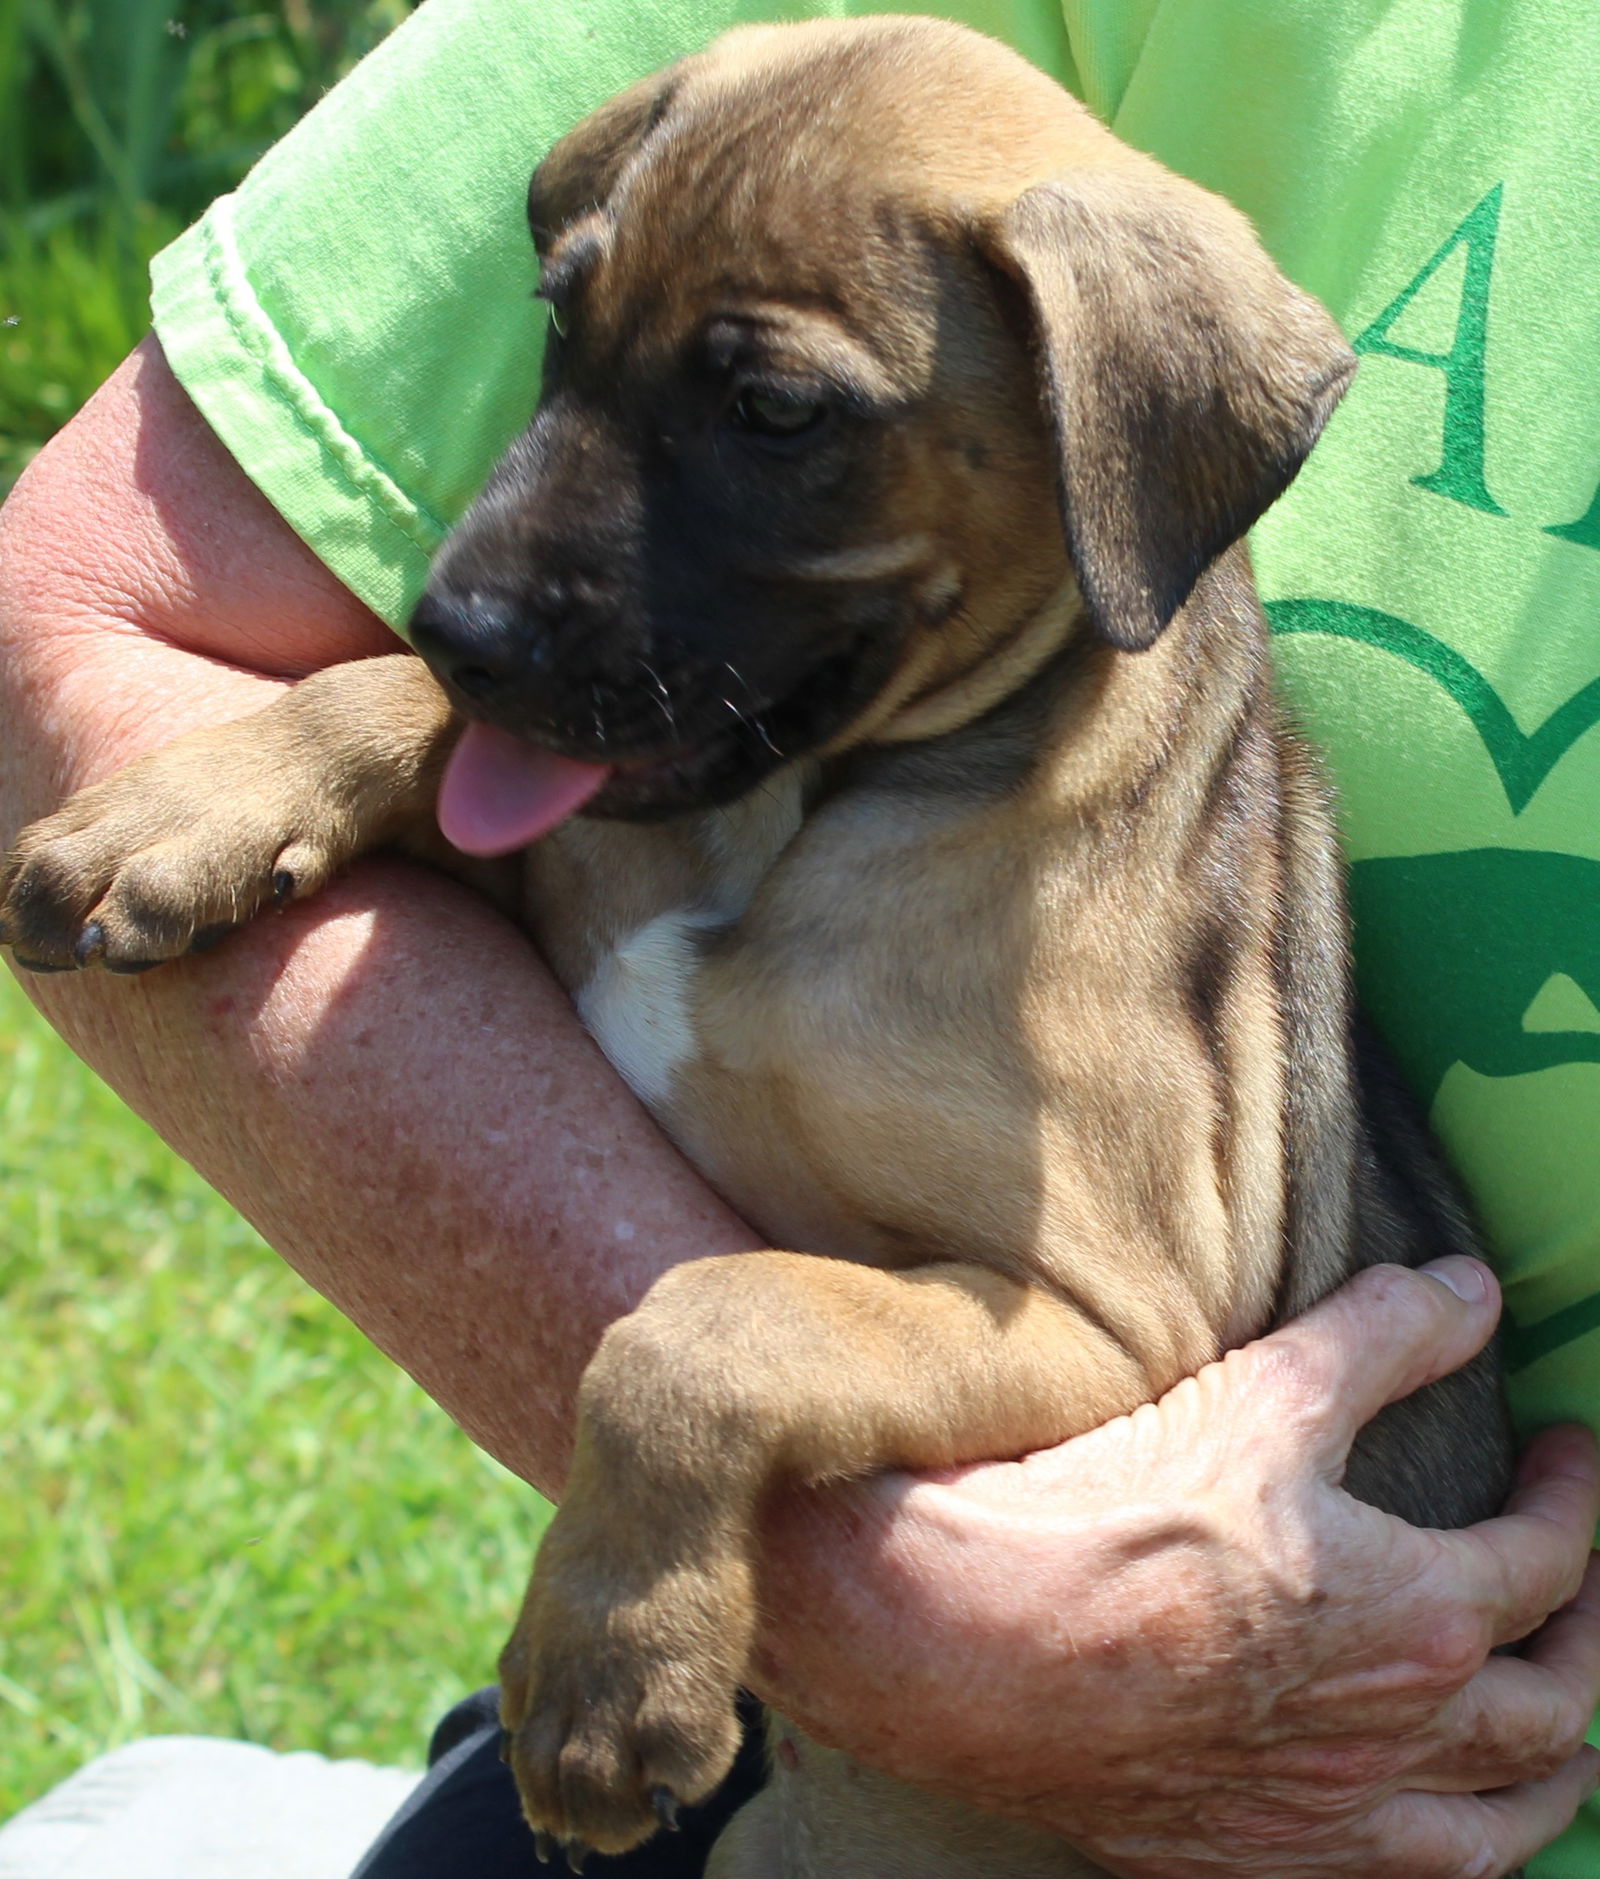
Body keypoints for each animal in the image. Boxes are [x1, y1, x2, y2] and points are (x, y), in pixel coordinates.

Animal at [6, 18, 1517, 1879]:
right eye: (560, 328)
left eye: (776, 413)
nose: (459, 620)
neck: (788, 822)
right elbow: (408, 724)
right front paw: (186, 810)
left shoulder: (1111, 1318)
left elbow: (711, 1318)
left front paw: (608, 1670)